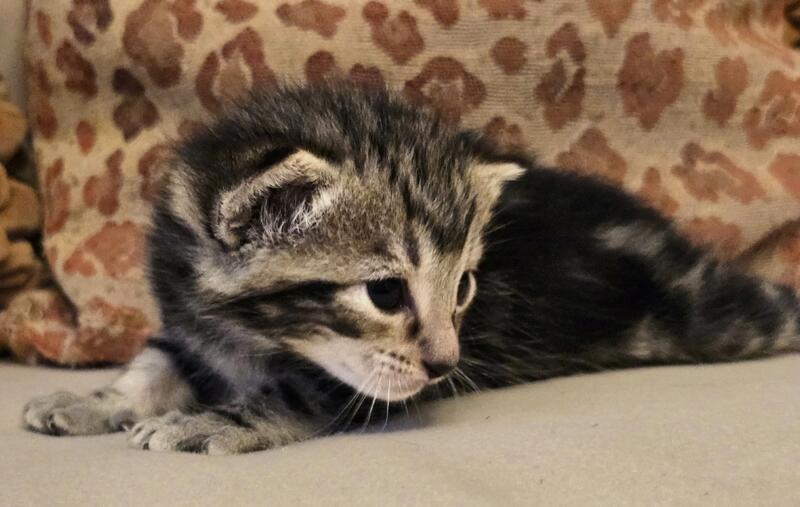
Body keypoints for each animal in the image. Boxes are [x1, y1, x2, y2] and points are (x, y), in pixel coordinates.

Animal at [23, 83, 800, 454]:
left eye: (464, 287)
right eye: (386, 292)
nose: (447, 363)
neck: (250, 331)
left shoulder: (350, 381)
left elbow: (294, 393)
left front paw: (209, 421)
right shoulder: (185, 316)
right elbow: (150, 366)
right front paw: (90, 401)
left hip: (714, 313)